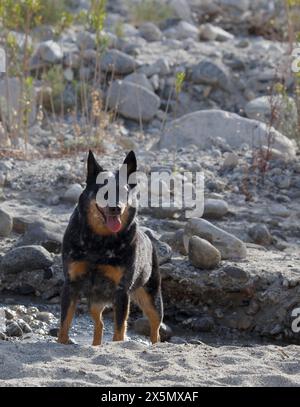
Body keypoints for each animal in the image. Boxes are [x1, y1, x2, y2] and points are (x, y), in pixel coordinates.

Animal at [57, 151, 163, 346]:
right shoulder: (71, 284)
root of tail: (149, 239)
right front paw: (62, 341)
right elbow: (65, 322)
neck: (99, 241)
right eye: (103, 191)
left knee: (155, 327)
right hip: (95, 302)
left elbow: (119, 329)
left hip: (151, 296)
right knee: (99, 323)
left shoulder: (121, 292)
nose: (116, 208)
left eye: (124, 191)